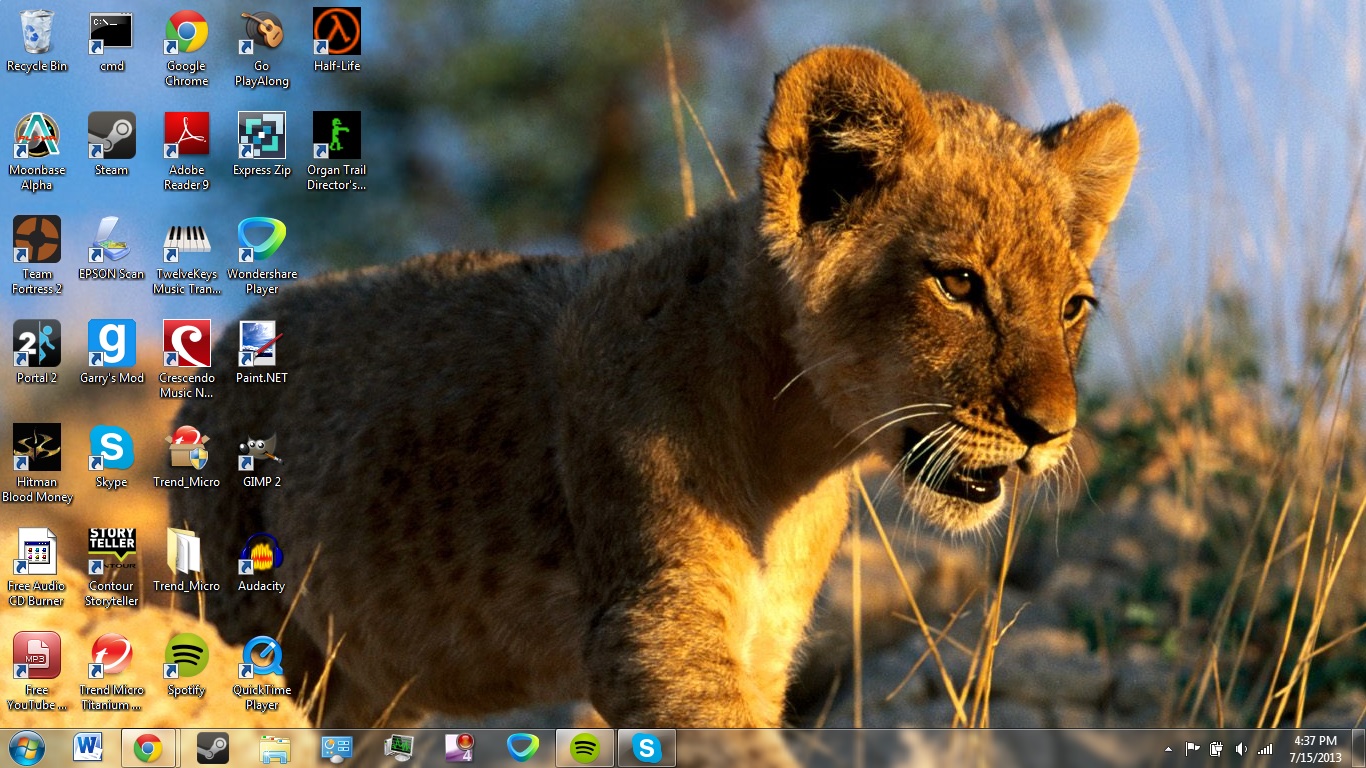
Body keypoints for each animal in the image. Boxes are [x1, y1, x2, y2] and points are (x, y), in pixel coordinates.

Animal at [171, 45, 1139, 731]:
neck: (798, 453)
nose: (1051, 430)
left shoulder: (761, 646)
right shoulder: (648, 628)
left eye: (1074, 307)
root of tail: (222, 346)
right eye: (959, 285)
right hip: (254, 629)